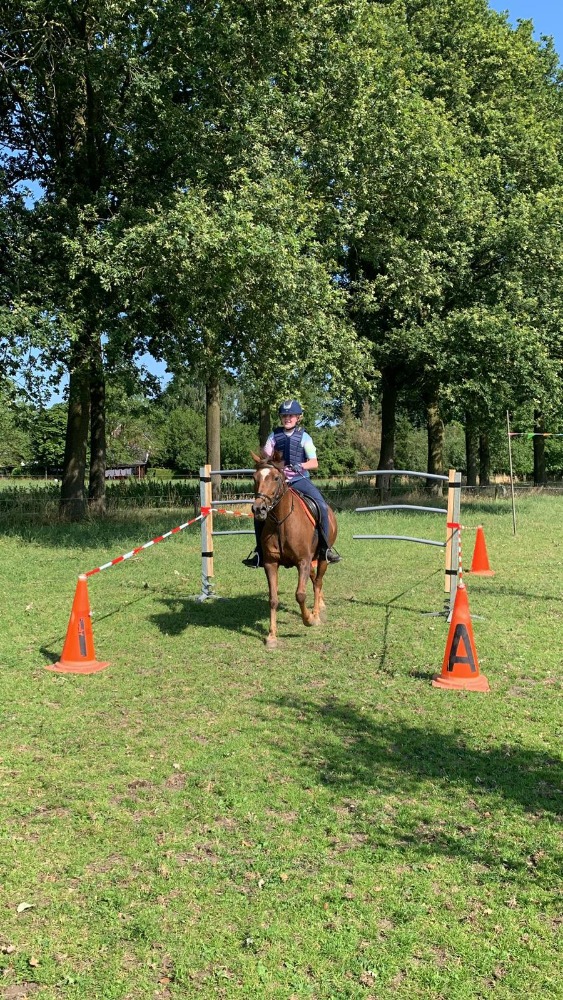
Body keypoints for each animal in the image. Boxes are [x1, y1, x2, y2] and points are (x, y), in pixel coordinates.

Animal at [250, 450, 338, 649]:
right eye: (254, 477)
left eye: (276, 478)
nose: (259, 509)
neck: (281, 522)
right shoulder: (271, 563)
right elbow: (273, 599)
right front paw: (272, 636)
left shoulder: (303, 562)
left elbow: (300, 595)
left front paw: (309, 619)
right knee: (314, 580)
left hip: (323, 559)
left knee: (318, 582)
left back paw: (317, 613)